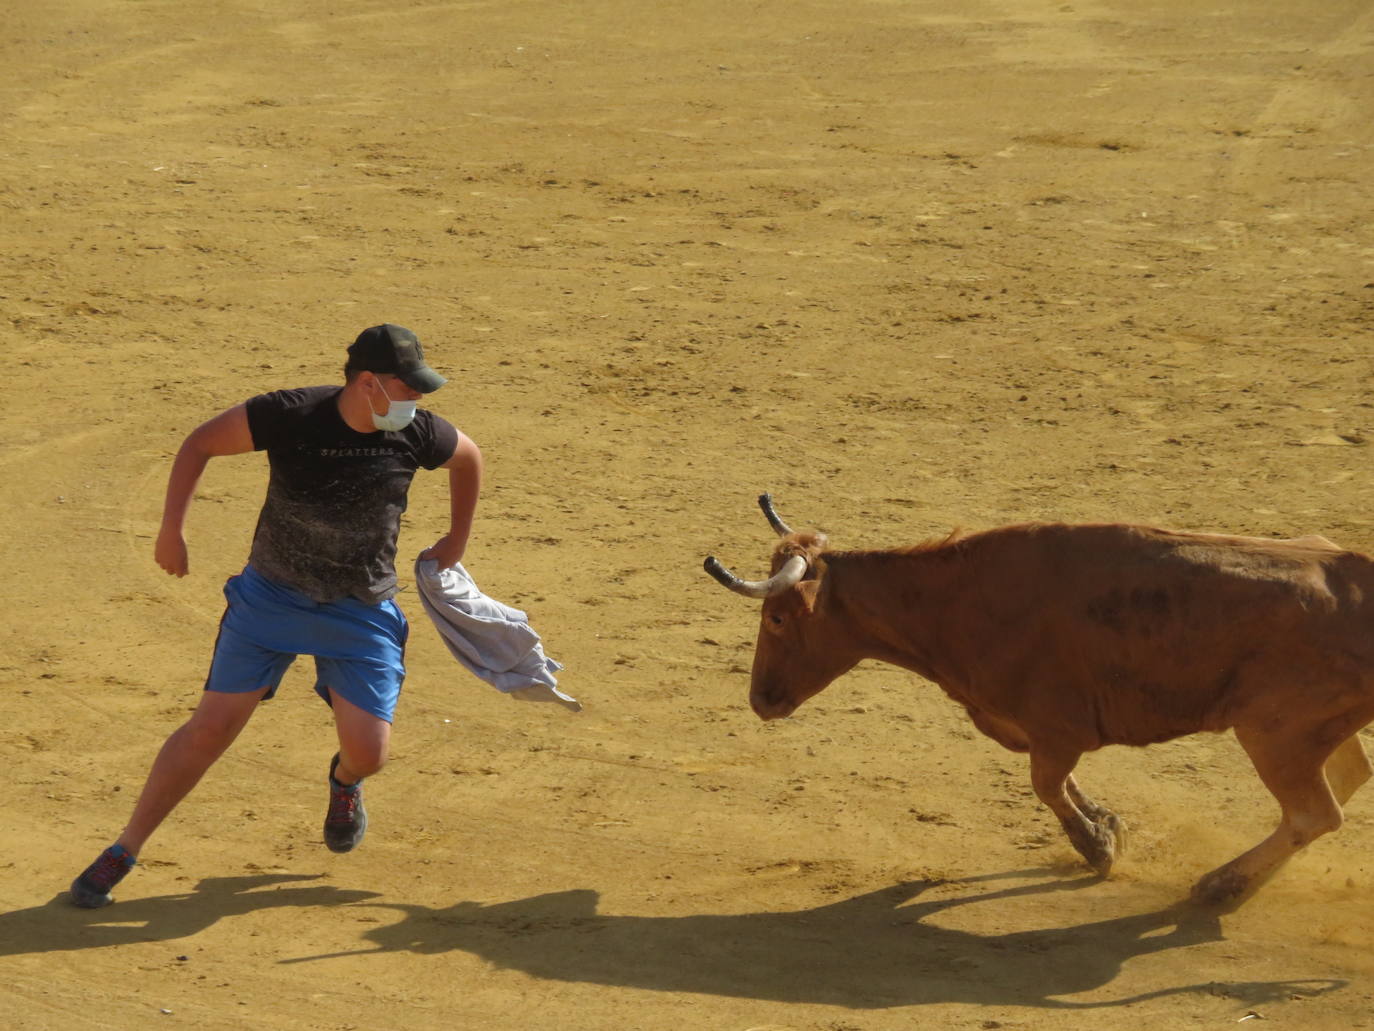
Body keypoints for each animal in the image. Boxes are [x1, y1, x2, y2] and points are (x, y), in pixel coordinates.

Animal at [703, 497, 1374, 907]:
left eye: (777, 617)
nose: (760, 700)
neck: (955, 599)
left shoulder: (1056, 728)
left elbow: (1047, 784)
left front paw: (1097, 845)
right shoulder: (1035, 729)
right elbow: (1062, 784)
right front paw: (1108, 824)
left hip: (1276, 732)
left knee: (1314, 813)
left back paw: (1220, 886)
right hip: (1309, 731)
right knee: (1342, 782)